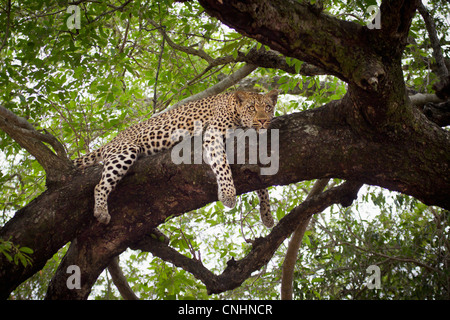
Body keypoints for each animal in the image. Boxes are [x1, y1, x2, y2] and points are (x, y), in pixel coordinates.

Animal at [73, 89, 278, 228]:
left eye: (268, 108)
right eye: (251, 108)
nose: (262, 120)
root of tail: (112, 140)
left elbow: (260, 185)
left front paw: (267, 214)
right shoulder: (213, 133)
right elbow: (222, 165)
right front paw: (228, 194)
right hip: (125, 151)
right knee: (100, 185)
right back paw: (101, 211)